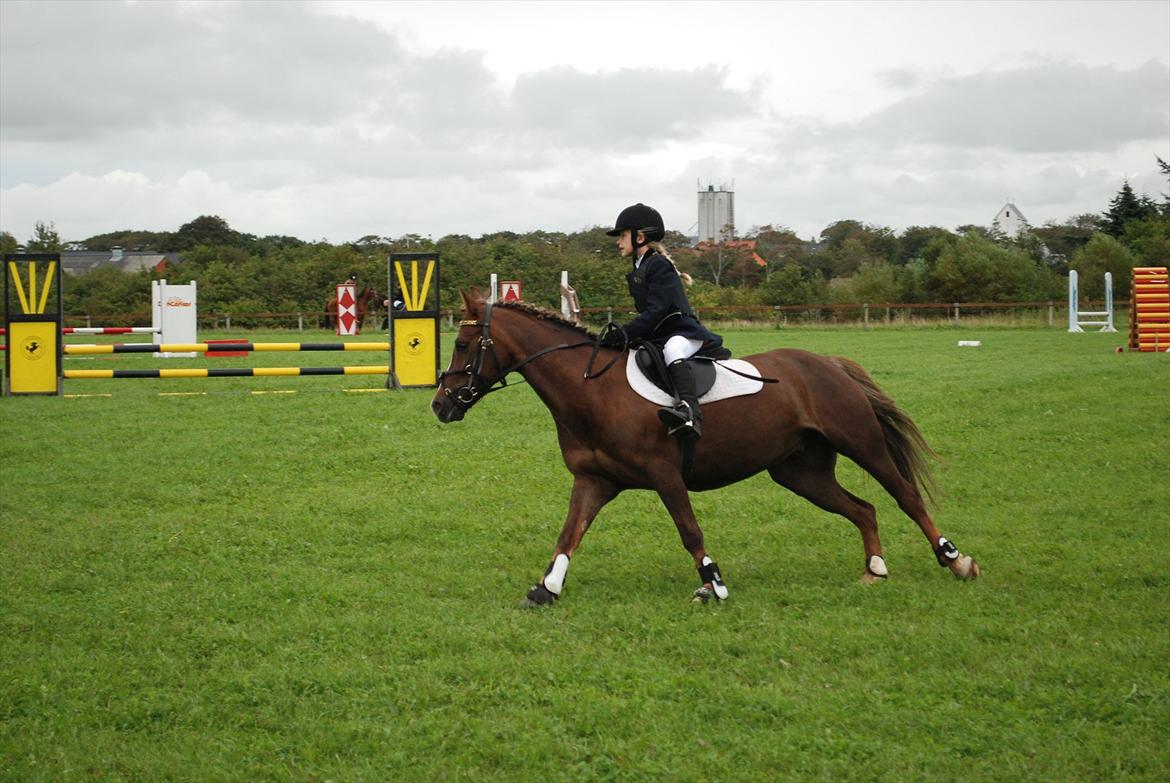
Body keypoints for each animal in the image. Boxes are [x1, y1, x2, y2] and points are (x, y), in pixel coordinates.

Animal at [430, 292, 978, 603]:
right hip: (800, 472)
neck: (591, 390)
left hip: (861, 442)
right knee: (863, 509)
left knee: (906, 497)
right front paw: (546, 590)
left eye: (462, 346)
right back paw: (874, 571)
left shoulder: (665, 475)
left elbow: (689, 532)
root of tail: (827, 362)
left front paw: (713, 584)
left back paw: (955, 560)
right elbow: (569, 536)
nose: (440, 405)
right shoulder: (594, 481)